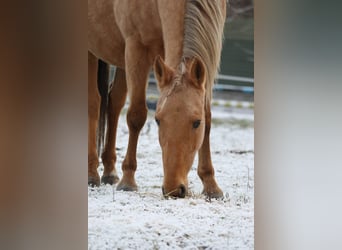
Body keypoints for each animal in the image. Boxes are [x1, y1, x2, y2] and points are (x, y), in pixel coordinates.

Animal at [88, 0, 227, 199]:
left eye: (196, 123)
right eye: (158, 121)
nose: (174, 189)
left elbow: (208, 118)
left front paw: (211, 186)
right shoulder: (135, 49)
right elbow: (136, 116)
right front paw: (128, 180)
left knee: (115, 102)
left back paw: (109, 172)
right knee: (94, 102)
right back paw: (92, 173)